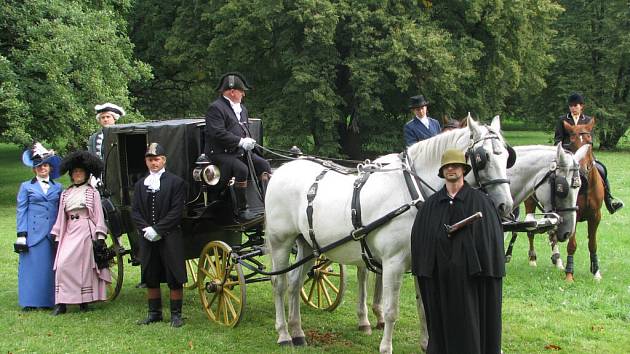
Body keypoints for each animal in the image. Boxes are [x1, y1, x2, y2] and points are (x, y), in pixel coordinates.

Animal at [264, 117, 516, 354]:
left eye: (506, 157)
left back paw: (297, 332)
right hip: (281, 243)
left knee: (295, 283)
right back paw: (284, 334)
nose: (506, 206)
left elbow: (423, 306)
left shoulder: (421, 262)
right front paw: (386, 347)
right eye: (483, 158)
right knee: (279, 283)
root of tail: (281, 170)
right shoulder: (393, 263)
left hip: (308, 245)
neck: (413, 191)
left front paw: (426, 343)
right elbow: (391, 310)